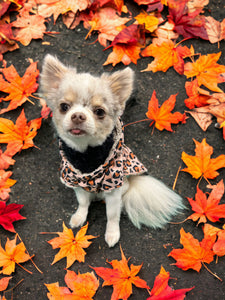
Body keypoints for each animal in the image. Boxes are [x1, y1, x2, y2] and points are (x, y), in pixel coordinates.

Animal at [40, 55, 185, 247]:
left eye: (99, 111)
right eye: (64, 106)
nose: (78, 116)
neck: (86, 155)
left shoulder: (113, 189)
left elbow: (112, 215)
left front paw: (112, 233)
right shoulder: (76, 181)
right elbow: (83, 202)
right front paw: (80, 216)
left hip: (124, 185)